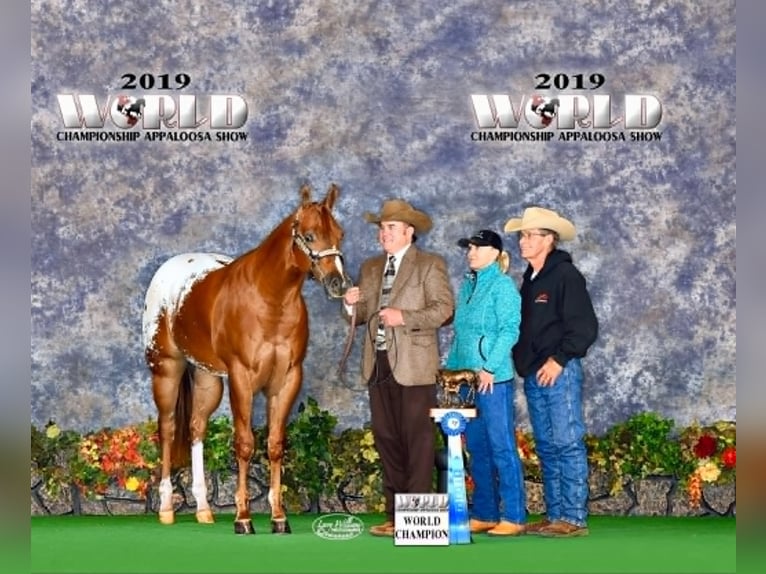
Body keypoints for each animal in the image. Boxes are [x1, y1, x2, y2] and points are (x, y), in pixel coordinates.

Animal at [141, 184, 352, 536]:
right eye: (309, 236)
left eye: (340, 234)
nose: (339, 285)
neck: (269, 300)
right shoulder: (242, 378)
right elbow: (244, 444)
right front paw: (243, 518)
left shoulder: (287, 379)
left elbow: (275, 445)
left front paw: (279, 518)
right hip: (166, 369)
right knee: (168, 429)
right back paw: (168, 508)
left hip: (208, 379)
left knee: (196, 428)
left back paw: (204, 510)